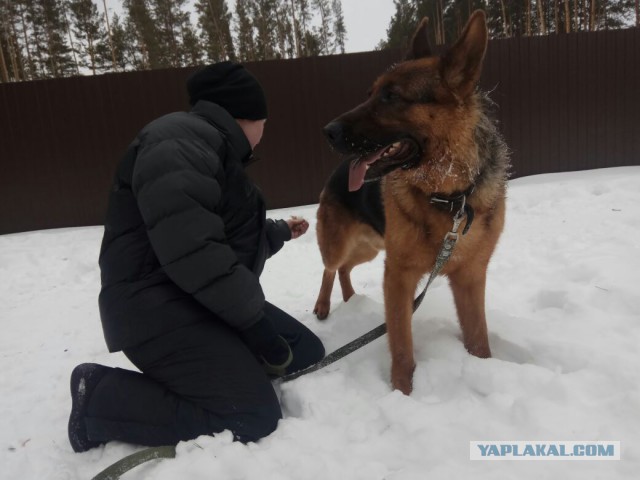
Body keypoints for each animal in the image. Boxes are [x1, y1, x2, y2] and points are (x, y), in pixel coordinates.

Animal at [314, 10, 510, 394]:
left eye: (391, 97)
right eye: (371, 93)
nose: (328, 132)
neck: (450, 198)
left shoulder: (470, 277)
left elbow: (478, 339)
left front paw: (484, 369)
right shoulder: (398, 276)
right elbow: (402, 346)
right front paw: (402, 393)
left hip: (370, 248)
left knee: (344, 269)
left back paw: (350, 298)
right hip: (340, 244)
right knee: (330, 267)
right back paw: (324, 306)